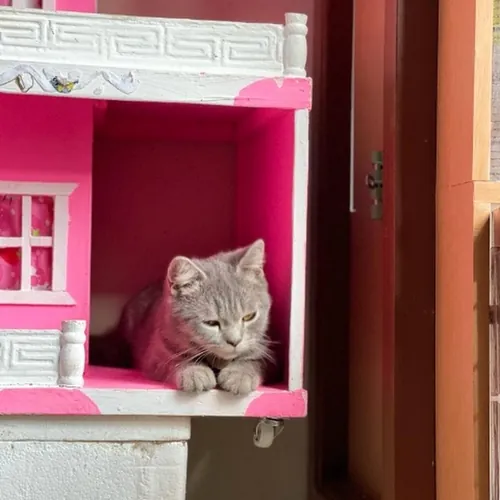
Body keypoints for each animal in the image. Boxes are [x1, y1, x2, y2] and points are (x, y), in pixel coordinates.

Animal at [89, 239, 273, 395]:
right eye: (211, 323)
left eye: (249, 316)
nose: (235, 341)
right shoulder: (154, 355)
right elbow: (174, 360)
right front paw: (194, 371)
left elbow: (255, 360)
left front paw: (239, 374)